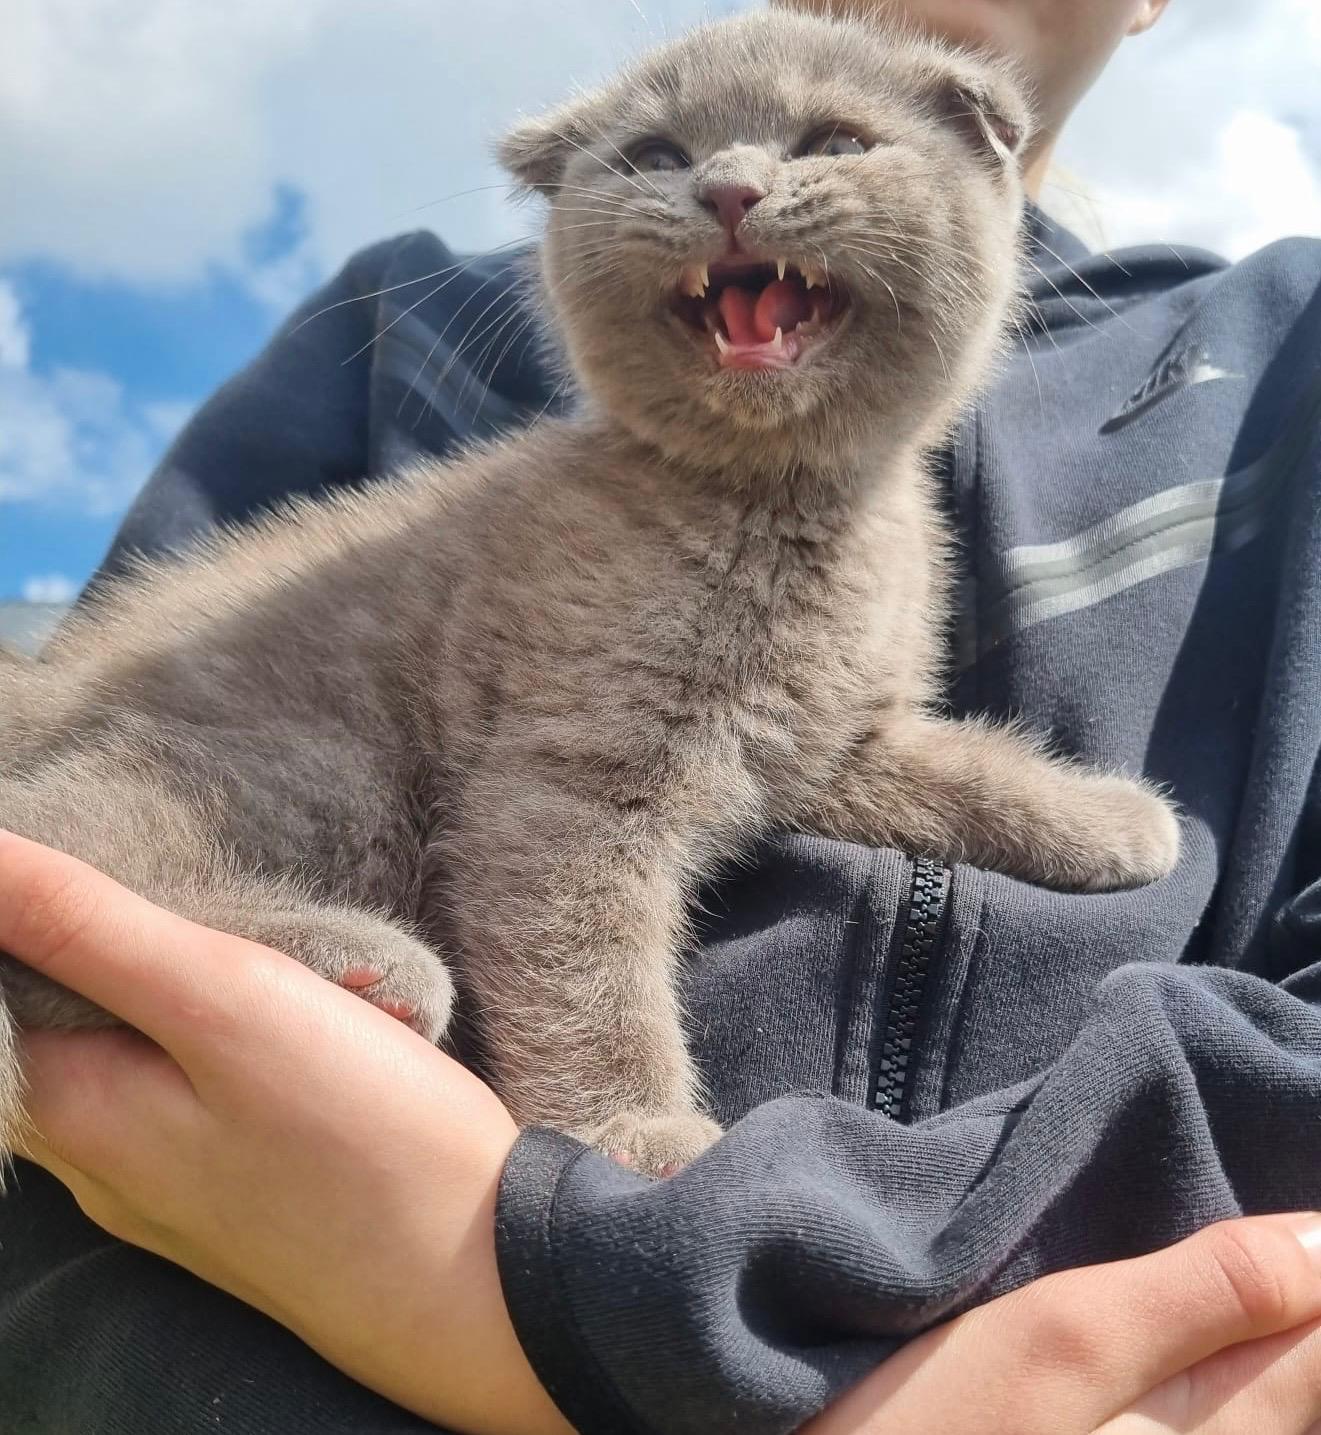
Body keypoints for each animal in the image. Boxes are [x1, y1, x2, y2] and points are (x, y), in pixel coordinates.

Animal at [0, 13, 1176, 1176]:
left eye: (835, 142)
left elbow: (961, 763)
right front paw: (633, 1129)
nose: (729, 189)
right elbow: (584, 961)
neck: (778, 509)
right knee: (66, 864)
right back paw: (362, 964)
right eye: (655, 155)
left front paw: (1107, 816)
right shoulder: (572, 777)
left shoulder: (834, 740)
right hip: (318, 765)